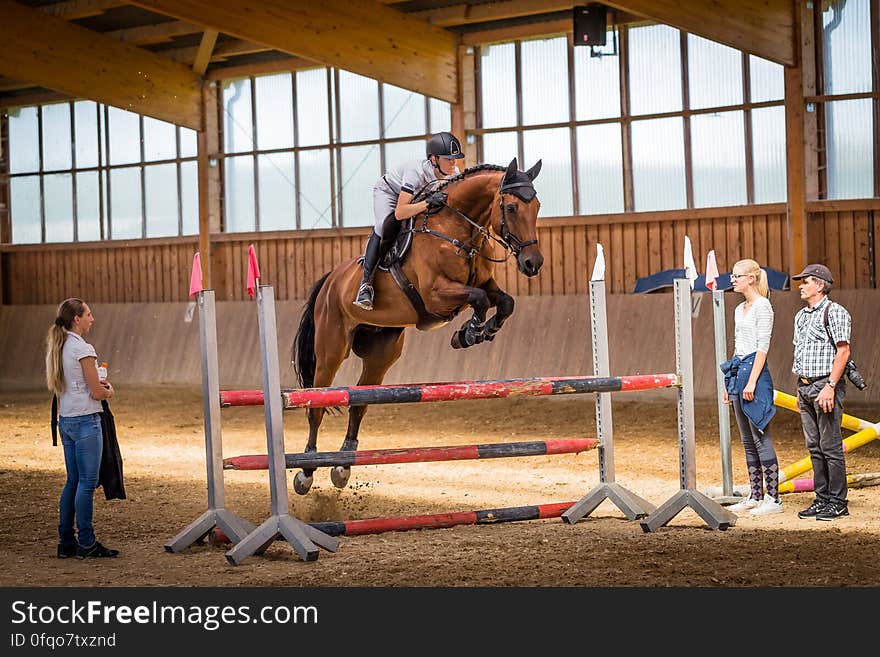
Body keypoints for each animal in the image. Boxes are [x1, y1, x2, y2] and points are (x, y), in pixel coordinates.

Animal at [292, 158, 544, 492]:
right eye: (512, 207)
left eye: (537, 206)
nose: (533, 263)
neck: (457, 230)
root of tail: (331, 280)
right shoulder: (437, 294)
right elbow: (478, 299)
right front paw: (469, 333)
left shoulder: (484, 283)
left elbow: (504, 302)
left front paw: (480, 331)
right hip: (331, 350)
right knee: (316, 405)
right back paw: (307, 470)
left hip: (382, 353)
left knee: (359, 403)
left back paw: (342, 466)